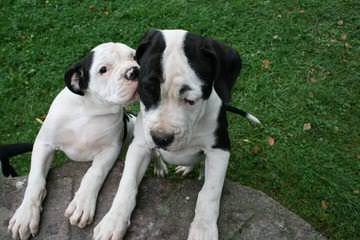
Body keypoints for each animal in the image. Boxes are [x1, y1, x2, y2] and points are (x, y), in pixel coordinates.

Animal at [7, 42, 140, 239]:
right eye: (103, 70)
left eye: (134, 56)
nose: (135, 71)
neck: (90, 108)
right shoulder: (44, 144)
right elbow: (35, 179)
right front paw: (26, 214)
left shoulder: (110, 149)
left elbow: (93, 173)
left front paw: (82, 203)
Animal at [94, 30, 260, 240]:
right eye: (147, 90)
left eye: (191, 100)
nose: (161, 138)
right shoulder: (140, 146)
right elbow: (127, 183)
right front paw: (113, 220)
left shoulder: (219, 151)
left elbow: (209, 193)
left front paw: (203, 230)